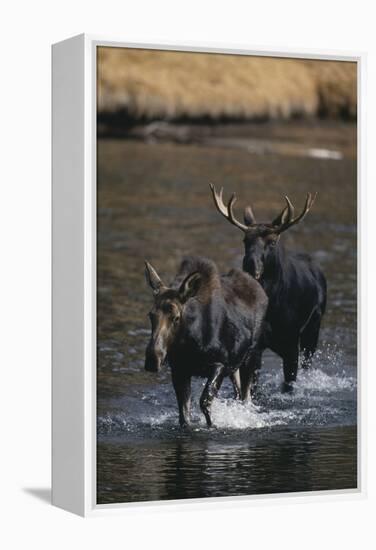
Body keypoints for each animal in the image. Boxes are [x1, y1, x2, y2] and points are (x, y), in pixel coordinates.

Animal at [144, 256, 268, 430]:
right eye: (151, 315)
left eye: (176, 317)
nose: (152, 359)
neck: (189, 343)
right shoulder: (179, 370)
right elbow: (184, 414)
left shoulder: (219, 364)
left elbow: (204, 401)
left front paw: (212, 425)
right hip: (236, 366)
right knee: (238, 393)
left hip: (252, 358)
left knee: (246, 397)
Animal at [210, 185, 328, 392]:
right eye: (245, 240)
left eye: (272, 241)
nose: (250, 264)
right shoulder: (255, 346)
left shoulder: (291, 343)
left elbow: (289, 383)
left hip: (313, 327)